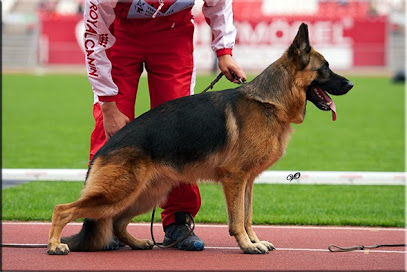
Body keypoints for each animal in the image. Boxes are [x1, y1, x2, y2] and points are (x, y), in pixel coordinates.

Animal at [47, 23, 354, 255]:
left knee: (118, 222)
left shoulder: (248, 181)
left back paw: (137, 243)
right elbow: (237, 219)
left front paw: (254, 241)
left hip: (147, 193)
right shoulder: (235, 178)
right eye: (325, 68)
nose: (351, 84)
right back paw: (54, 245)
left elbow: (247, 215)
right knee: (62, 209)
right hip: (118, 193)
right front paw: (246, 245)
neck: (269, 102)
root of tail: (104, 149)